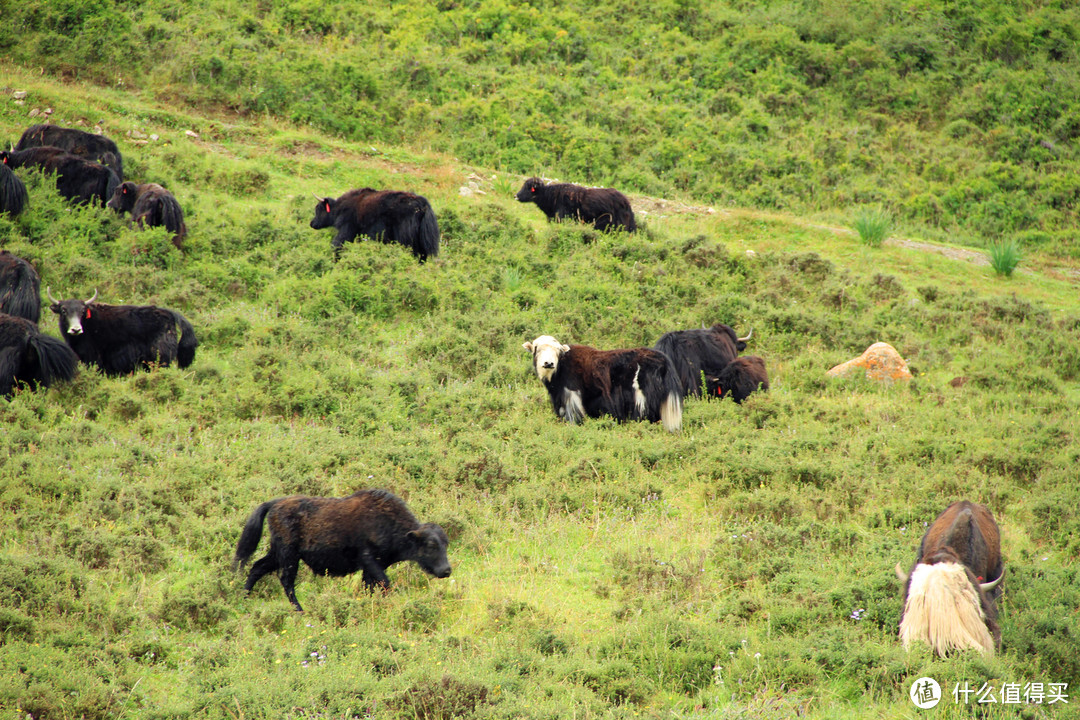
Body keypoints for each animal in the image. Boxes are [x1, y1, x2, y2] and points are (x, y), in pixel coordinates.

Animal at [234, 487, 453, 613]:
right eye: (431, 545)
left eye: (446, 543)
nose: (446, 570)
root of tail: (274, 504)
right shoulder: (369, 560)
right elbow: (384, 583)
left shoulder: (372, 567)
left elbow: (370, 585)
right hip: (289, 556)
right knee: (286, 580)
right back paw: (300, 610)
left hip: (277, 553)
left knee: (257, 567)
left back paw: (244, 597)